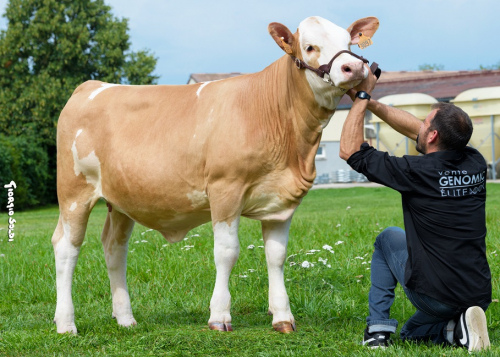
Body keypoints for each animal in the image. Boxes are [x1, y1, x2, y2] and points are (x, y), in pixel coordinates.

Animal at [51, 16, 378, 334]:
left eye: (348, 42)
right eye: (309, 47)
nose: (353, 67)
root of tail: (90, 86)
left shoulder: (280, 202)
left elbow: (276, 256)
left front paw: (282, 317)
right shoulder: (225, 189)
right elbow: (226, 252)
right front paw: (219, 315)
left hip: (121, 200)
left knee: (114, 248)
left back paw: (125, 318)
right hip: (74, 192)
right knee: (67, 248)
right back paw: (66, 323)